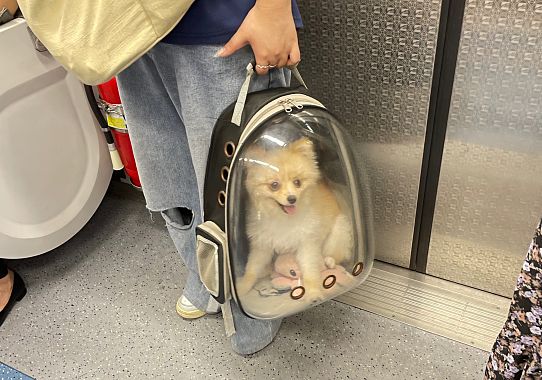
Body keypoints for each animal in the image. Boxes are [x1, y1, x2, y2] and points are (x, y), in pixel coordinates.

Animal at [237, 138, 354, 302]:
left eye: (297, 182)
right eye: (274, 185)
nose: (292, 199)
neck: (283, 218)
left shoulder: (307, 244)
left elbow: (310, 270)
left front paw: (313, 293)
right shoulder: (262, 245)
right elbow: (252, 268)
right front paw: (242, 288)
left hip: (338, 232)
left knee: (336, 256)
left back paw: (329, 261)